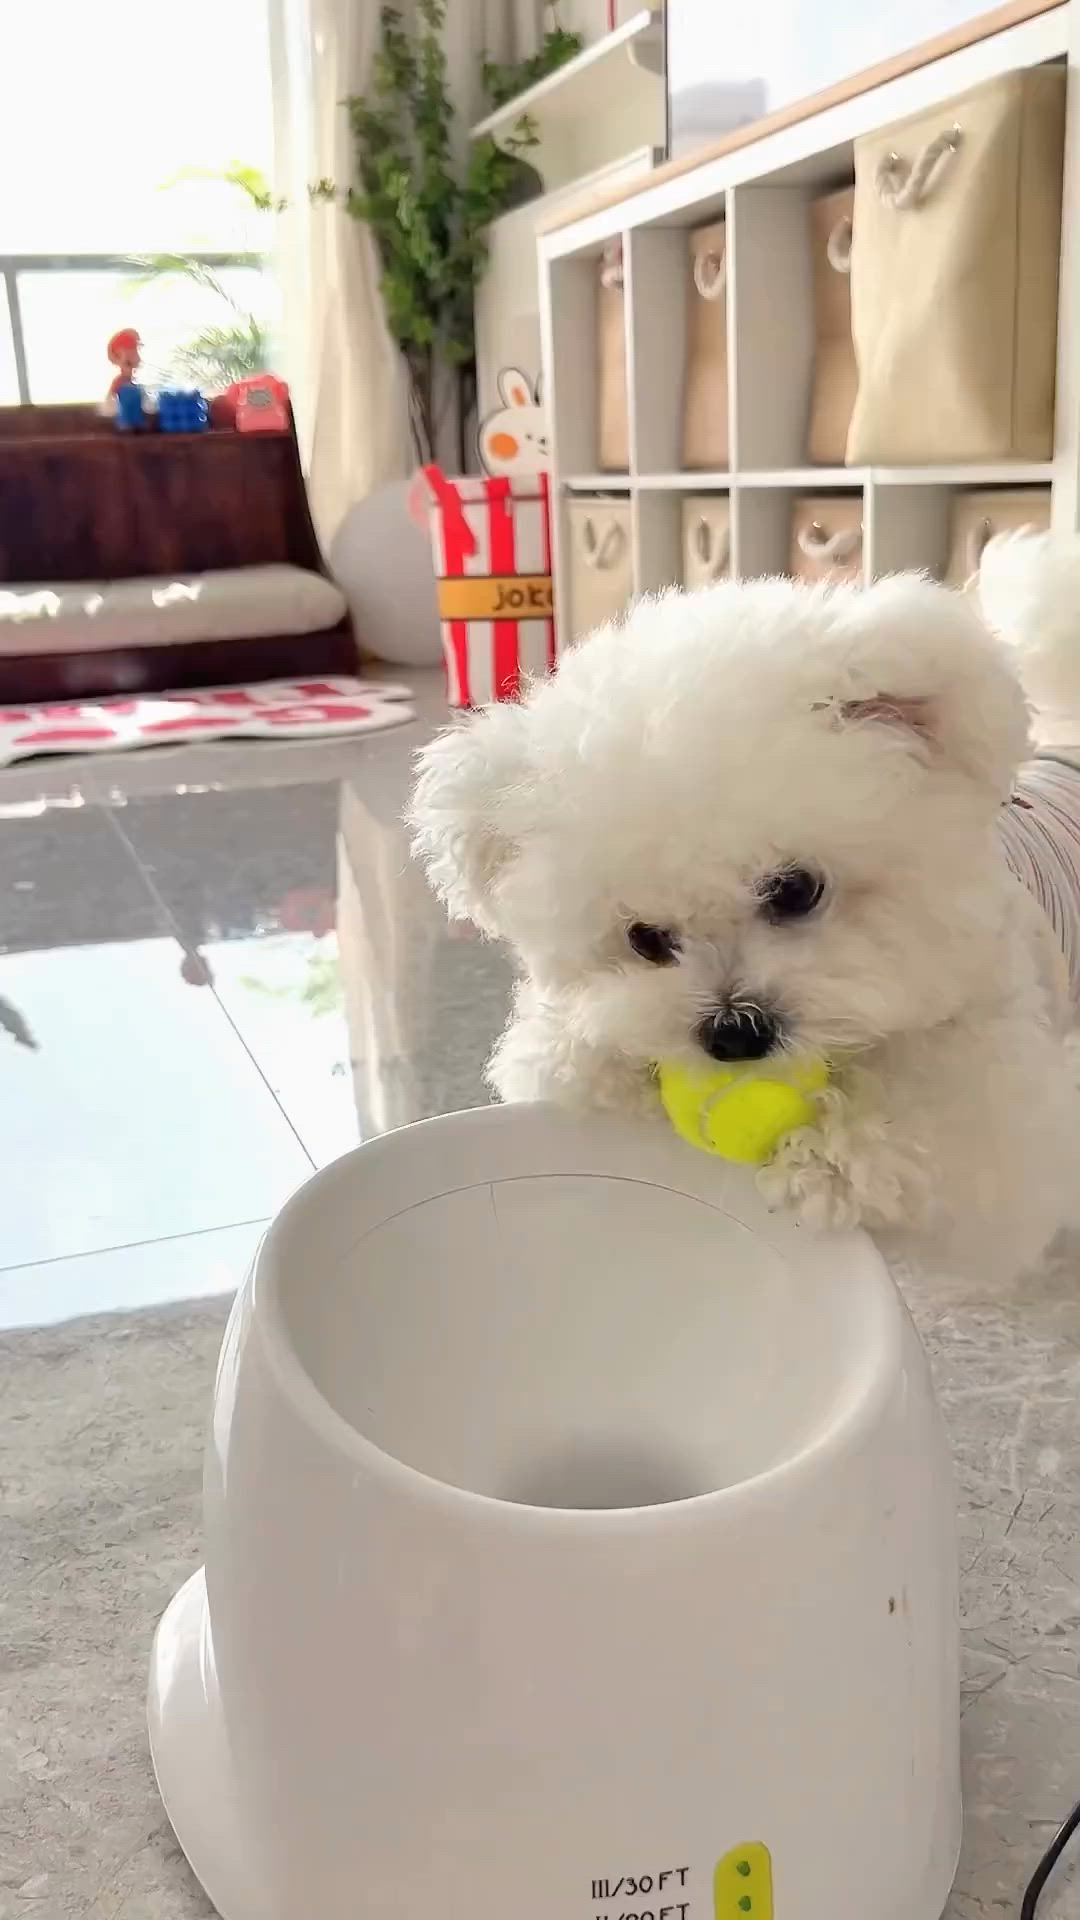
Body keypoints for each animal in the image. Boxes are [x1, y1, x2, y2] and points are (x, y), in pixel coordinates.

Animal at [407, 556, 1076, 1282]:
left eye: (796, 889)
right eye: (645, 939)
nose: (732, 1034)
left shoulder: (1004, 1103)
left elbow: (941, 1119)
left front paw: (825, 1160)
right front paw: (579, 1059)